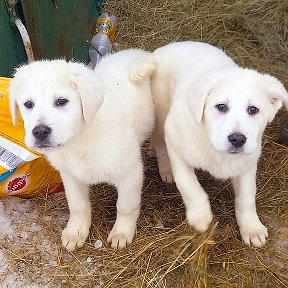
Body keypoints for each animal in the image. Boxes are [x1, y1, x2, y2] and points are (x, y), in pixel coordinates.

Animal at [9, 49, 156, 250]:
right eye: (28, 104)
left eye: (62, 101)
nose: (39, 132)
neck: (79, 140)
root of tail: (136, 52)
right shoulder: (70, 175)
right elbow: (78, 205)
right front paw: (76, 232)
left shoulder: (130, 173)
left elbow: (126, 206)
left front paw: (122, 232)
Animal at [151, 41, 288, 248]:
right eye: (221, 107)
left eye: (253, 110)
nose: (238, 139)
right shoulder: (174, 139)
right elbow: (188, 184)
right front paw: (200, 215)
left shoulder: (247, 163)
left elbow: (247, 196)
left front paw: (251, 227)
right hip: (160, 114)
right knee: (159, 142)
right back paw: (165, 169)